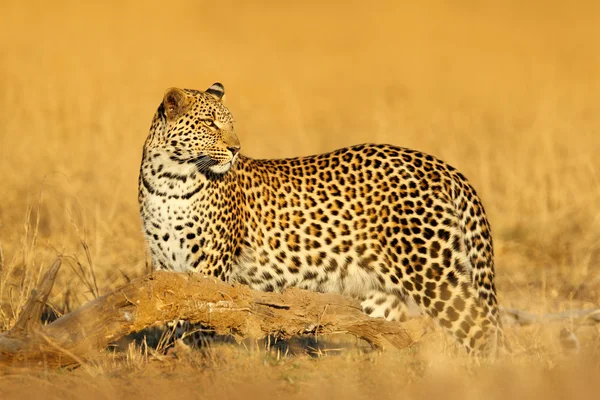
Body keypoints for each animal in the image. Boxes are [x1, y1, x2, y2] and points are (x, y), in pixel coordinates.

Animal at [139, 82, 506, 356]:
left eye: (231, 124)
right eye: (209, 123)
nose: (235, 149)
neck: (169, 180)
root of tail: (443, 167)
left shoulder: (211, 264)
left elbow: (198, 316)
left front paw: (192, 361)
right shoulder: (165, 264)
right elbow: (171, 312)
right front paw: (169, 356)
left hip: (431, 270)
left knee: (483, 330)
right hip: (384, 291)